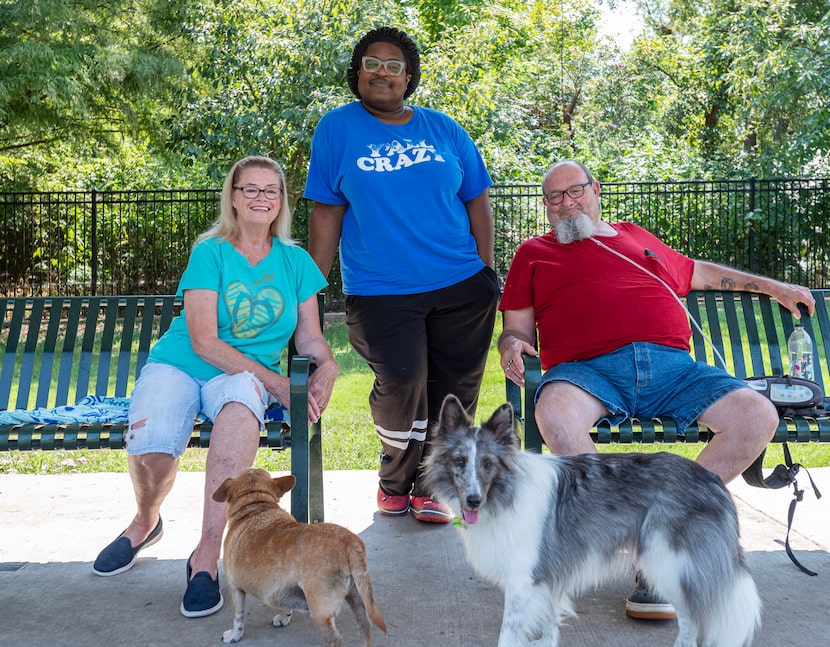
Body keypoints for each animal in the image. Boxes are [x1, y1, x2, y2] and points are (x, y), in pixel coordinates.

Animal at [211, 470, 386, 647]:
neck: (256, 505)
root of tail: (351, 543)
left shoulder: (235, 588)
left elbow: (238, 617)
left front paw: (234, 635)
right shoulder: (277, 587)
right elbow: (282, 605)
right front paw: (284, 617)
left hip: (320, 612)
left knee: (335, 639)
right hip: (358, 598)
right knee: (365, 627)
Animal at [426, 394, 764, 647]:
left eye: (487, 464)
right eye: (459, 462)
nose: (473, 501)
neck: (507, 489)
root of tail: (713, 480)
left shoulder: (523, 581)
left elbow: (508, 635)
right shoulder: (548, 575)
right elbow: (549, 622)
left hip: (669, 563)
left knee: (692, 620)